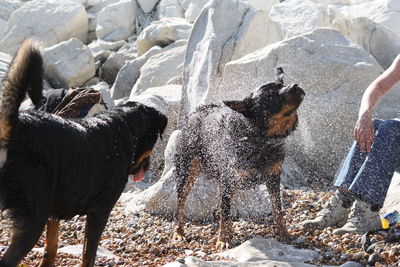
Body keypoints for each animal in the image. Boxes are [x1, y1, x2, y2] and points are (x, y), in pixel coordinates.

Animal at [0, 40, 167, 267]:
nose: (148, 166)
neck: (124, 125)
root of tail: (13, 127)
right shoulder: (100, 211)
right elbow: (89, 253)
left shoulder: (54, 210)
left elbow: (51, 247)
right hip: (33, 215)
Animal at [173, 69, 306, 251]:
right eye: (269, 96)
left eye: (282, 84)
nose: (295, 85)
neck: (260, 139)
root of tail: (198, 111)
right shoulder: (229, 179)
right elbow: (226, 214)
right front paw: (223, 239)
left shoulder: (273, 177)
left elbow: (278, 210)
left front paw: (284, 234)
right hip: (186, 171)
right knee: (181, 204)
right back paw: (179, 232)